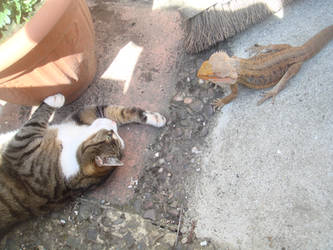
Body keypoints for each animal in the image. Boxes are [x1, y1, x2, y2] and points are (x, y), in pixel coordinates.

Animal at [0, 94, 166, 238]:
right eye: (111, 135)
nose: (113, 125)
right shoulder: (83, 116)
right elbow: (118, 111)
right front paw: (155, 118)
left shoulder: (22, 151)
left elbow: (35, 122)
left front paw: (55, 99)